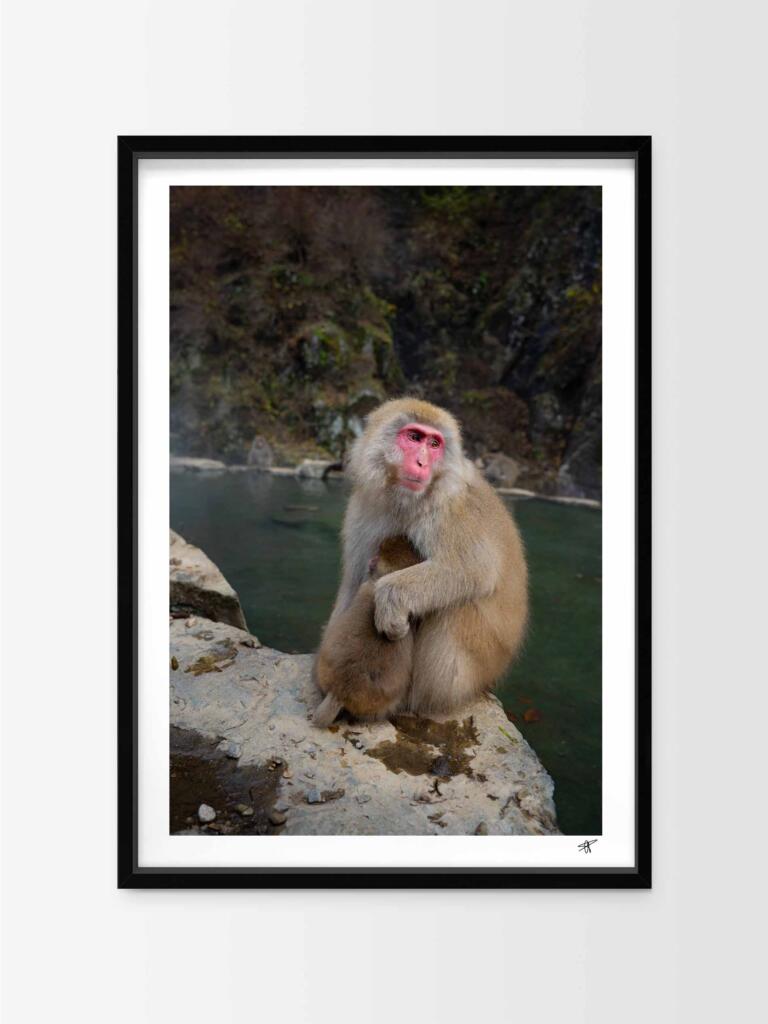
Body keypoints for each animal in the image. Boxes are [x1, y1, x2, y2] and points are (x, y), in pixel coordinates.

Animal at [322, 397, 528, 718]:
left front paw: (389, 600)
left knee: (455, 603)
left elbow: (471, 570)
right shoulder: (362, 508)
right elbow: (354, 582)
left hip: (468, 673)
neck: (406, 500)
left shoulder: (452, 510)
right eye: (414, 437)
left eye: (434, 444)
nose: (422, 462)